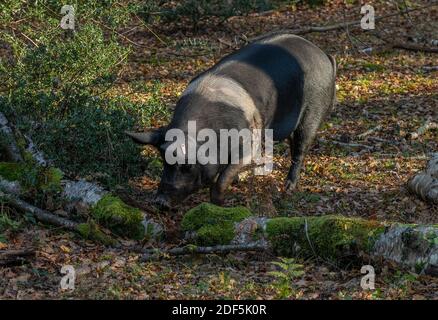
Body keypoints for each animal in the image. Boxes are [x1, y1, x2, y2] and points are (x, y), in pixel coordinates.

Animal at [125, 32, 338, 206]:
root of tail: (324, 55)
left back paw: (288, 188)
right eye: (164, 161)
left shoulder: (249, 142)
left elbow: (222, 179)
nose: (160, 202)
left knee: (301, 148)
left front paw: (219, 203)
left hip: (314, 108)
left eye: (188, 166)